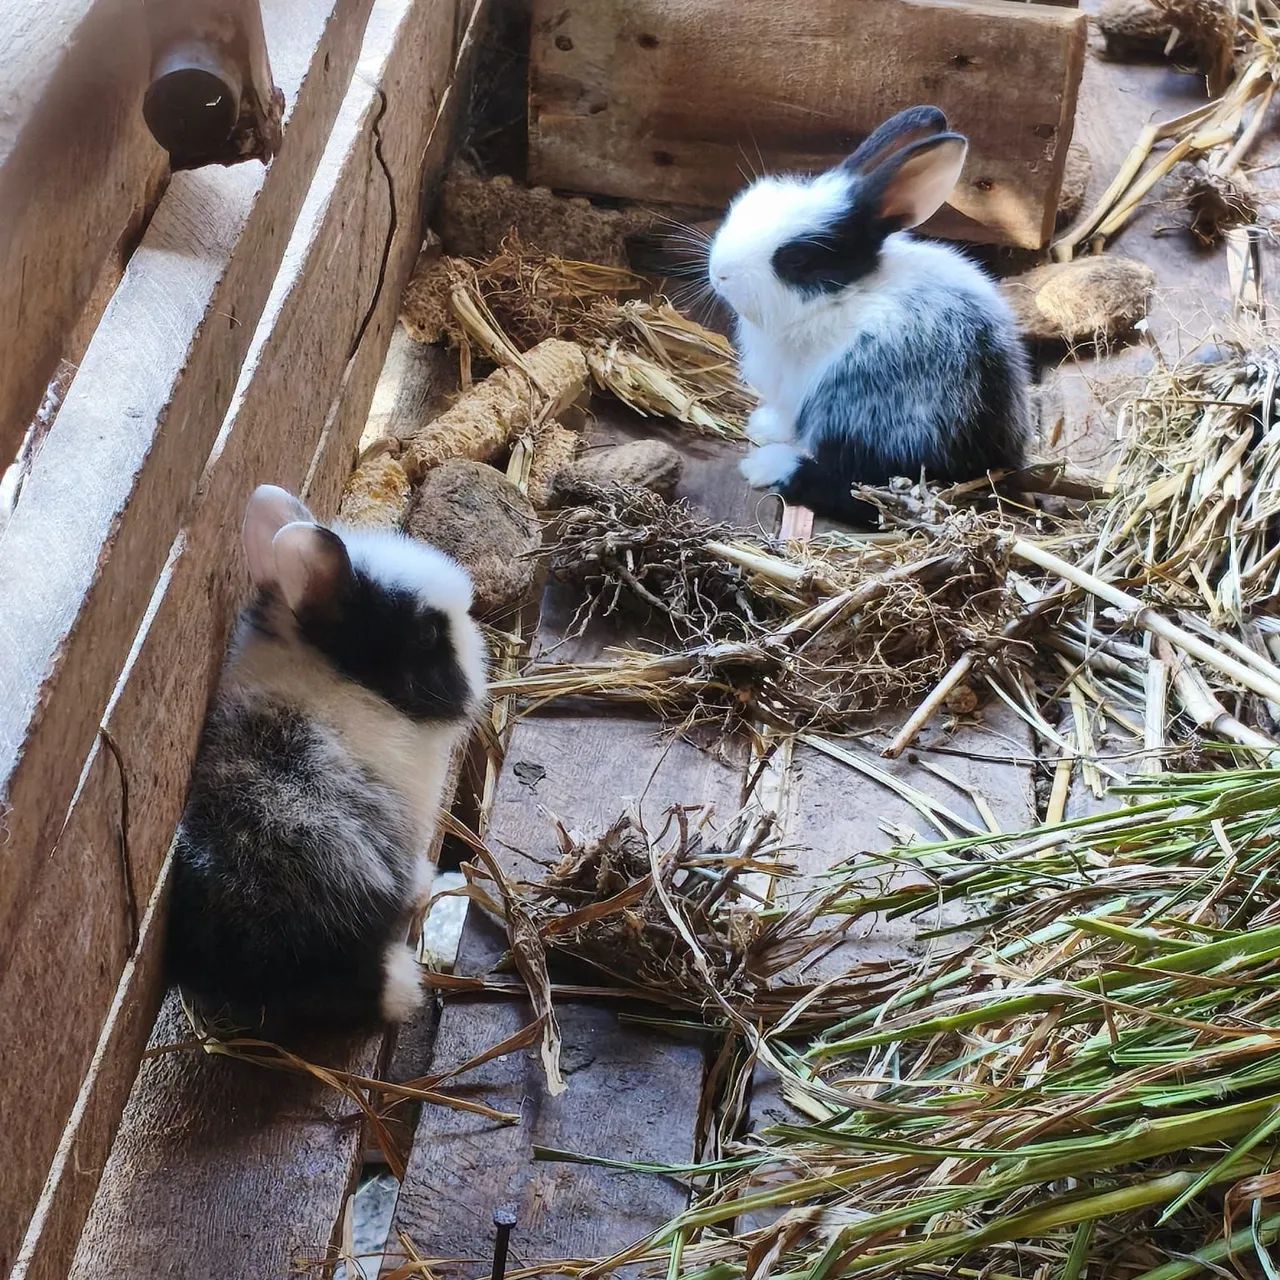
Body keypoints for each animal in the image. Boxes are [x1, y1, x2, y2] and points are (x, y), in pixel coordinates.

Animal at [707, 105, 1031, 523]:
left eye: (798, 259)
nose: (719, 273)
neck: (847, 294)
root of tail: (988, 461)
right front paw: (763, 424)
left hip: (865, 412)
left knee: (858, 489)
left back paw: (766, 466)